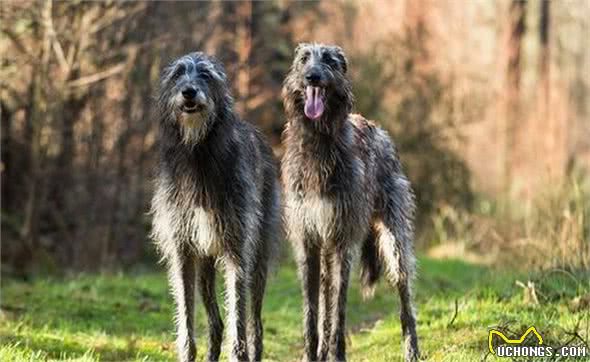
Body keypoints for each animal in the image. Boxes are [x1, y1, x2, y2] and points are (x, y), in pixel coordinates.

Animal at [151, 51, 284, 362]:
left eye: (205, 74)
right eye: (178, 73)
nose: (189, 92)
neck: (198, 152)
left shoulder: (237, 249)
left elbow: (239, 319)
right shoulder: (183, 251)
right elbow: (186, 319)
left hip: (258, 256)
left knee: (255, 323)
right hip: (205, 264)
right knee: (216, 323)